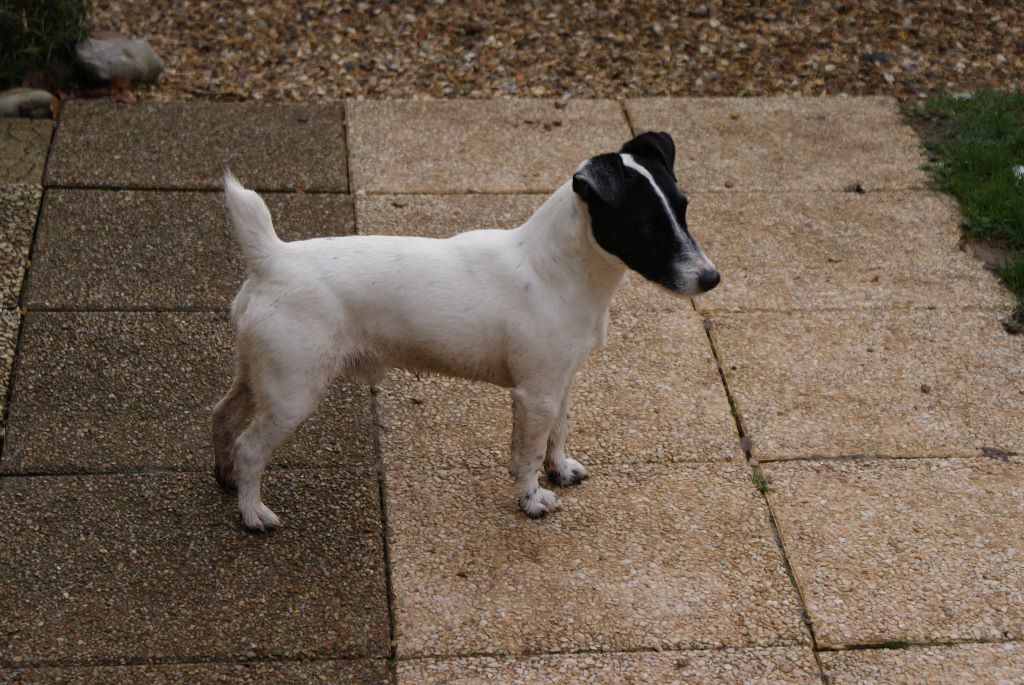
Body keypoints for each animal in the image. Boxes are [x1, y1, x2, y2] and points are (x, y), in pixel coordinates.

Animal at [213, 131, 718, 532]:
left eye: (683, 208)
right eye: (647, 226)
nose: (711, 279)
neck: (555, 270)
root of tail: (273, 258)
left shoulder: (560, 382)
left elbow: (558, 431)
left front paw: (559, 470)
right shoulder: (534, 395)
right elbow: (528, 452)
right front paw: (532, 499)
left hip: (259, 375)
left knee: (223, 417)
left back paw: (227, 478)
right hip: (292, 393)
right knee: (250, 447)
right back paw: (253, 512)